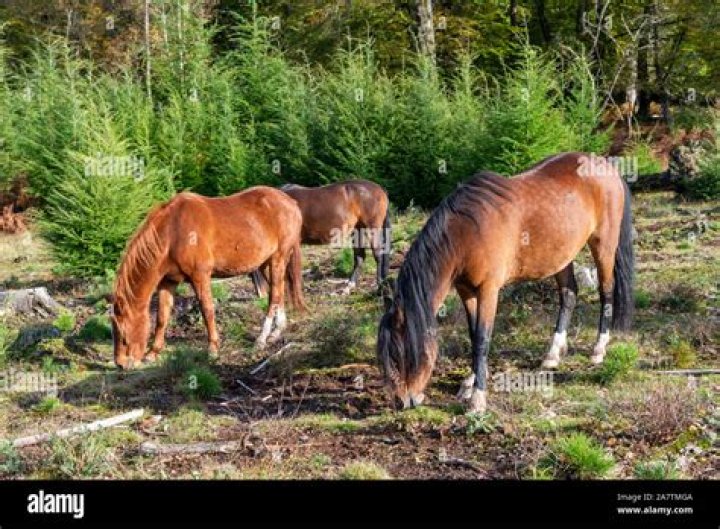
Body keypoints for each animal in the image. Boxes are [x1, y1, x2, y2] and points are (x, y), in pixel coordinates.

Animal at [109, 187, 306, 370]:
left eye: (124, 336)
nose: (120, 364)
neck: (173, 232)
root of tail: (290, 202)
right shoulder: (168, 282)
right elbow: (162, 317)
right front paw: (153, 353)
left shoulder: (200, 277)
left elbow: (207, 310)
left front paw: (212, 349)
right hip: (266, 263)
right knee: (278, 292)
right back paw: (277, 331)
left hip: (278, 258)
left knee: (274, 296)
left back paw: (262, 338)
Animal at [251, 179, 391, 296]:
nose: (261, 296)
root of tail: (380, 189)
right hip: (358, 230)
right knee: (360, 257)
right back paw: (348, 287)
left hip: (372, 227)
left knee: (378, 255)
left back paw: (379, 287)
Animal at [377, 152, 634, 413]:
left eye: (402, 355)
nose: (402, 401)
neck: (467, 231)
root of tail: (603, 164)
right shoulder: (466, 291)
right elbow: (473, 335)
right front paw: (469, 382)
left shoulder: (489, 291)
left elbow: (482, 338)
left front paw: (477, 399)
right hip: (563, 256)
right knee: (569, 295)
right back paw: (552, 355)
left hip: (603, 245)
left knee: (606, 292)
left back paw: (598, 349)